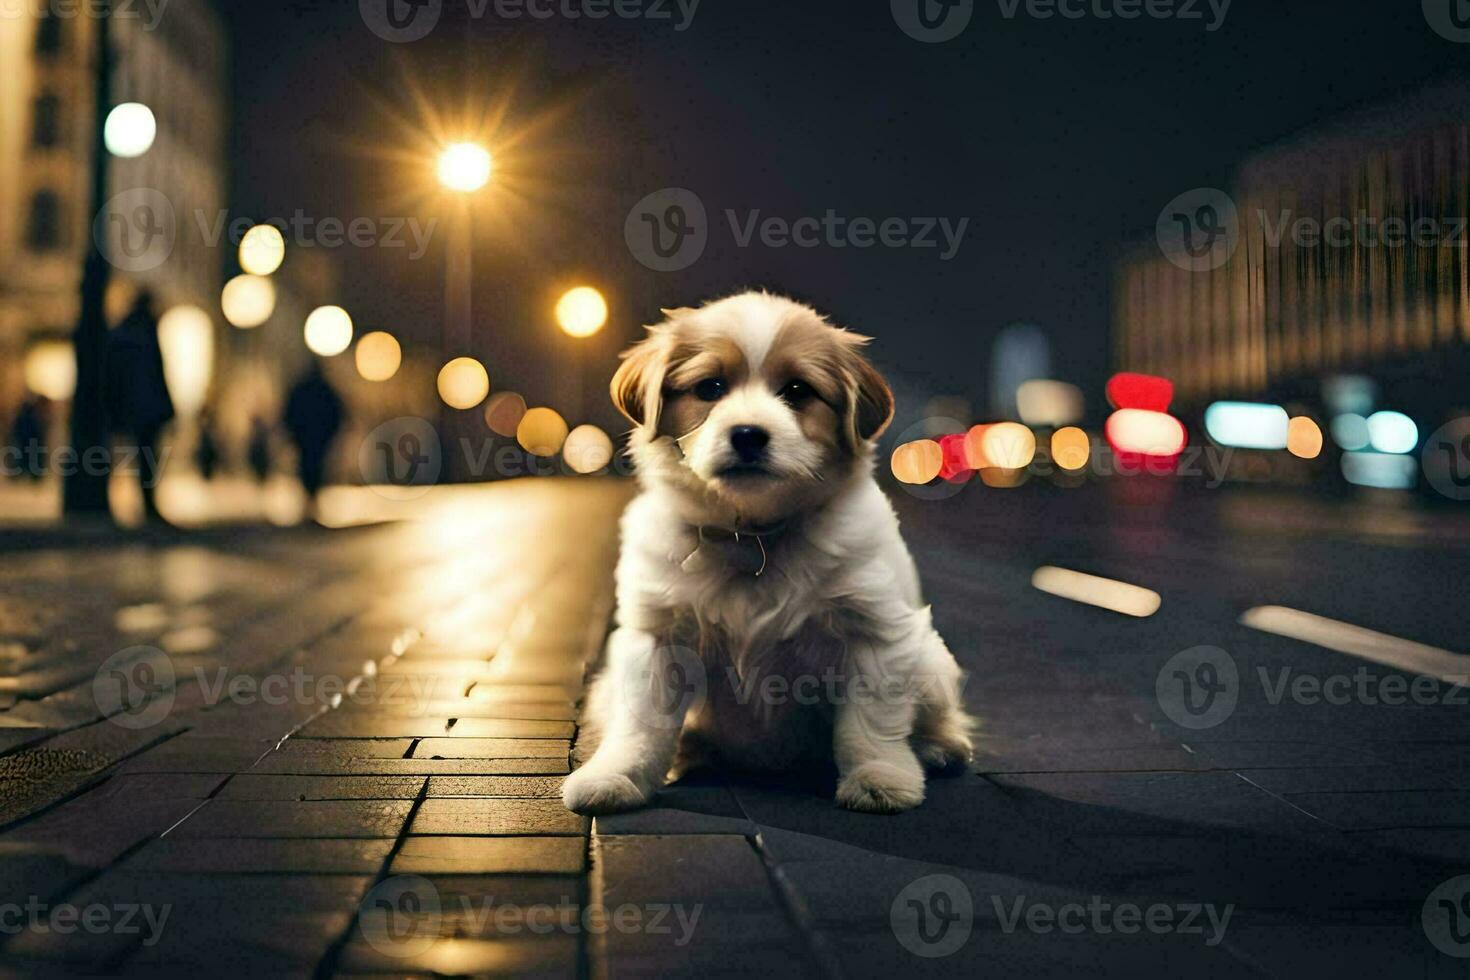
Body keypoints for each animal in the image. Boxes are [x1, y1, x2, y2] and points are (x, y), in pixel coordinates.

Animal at [564, 295, 976, 816]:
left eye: (797, 391)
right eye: (710, 387)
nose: (747, 434)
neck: (752, 534)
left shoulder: (875, 629)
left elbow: (871, 722)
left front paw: (879, 777)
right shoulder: (657, 637)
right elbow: (642, 723)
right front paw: (617, 775)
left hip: (930, 659)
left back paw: (941, 747)